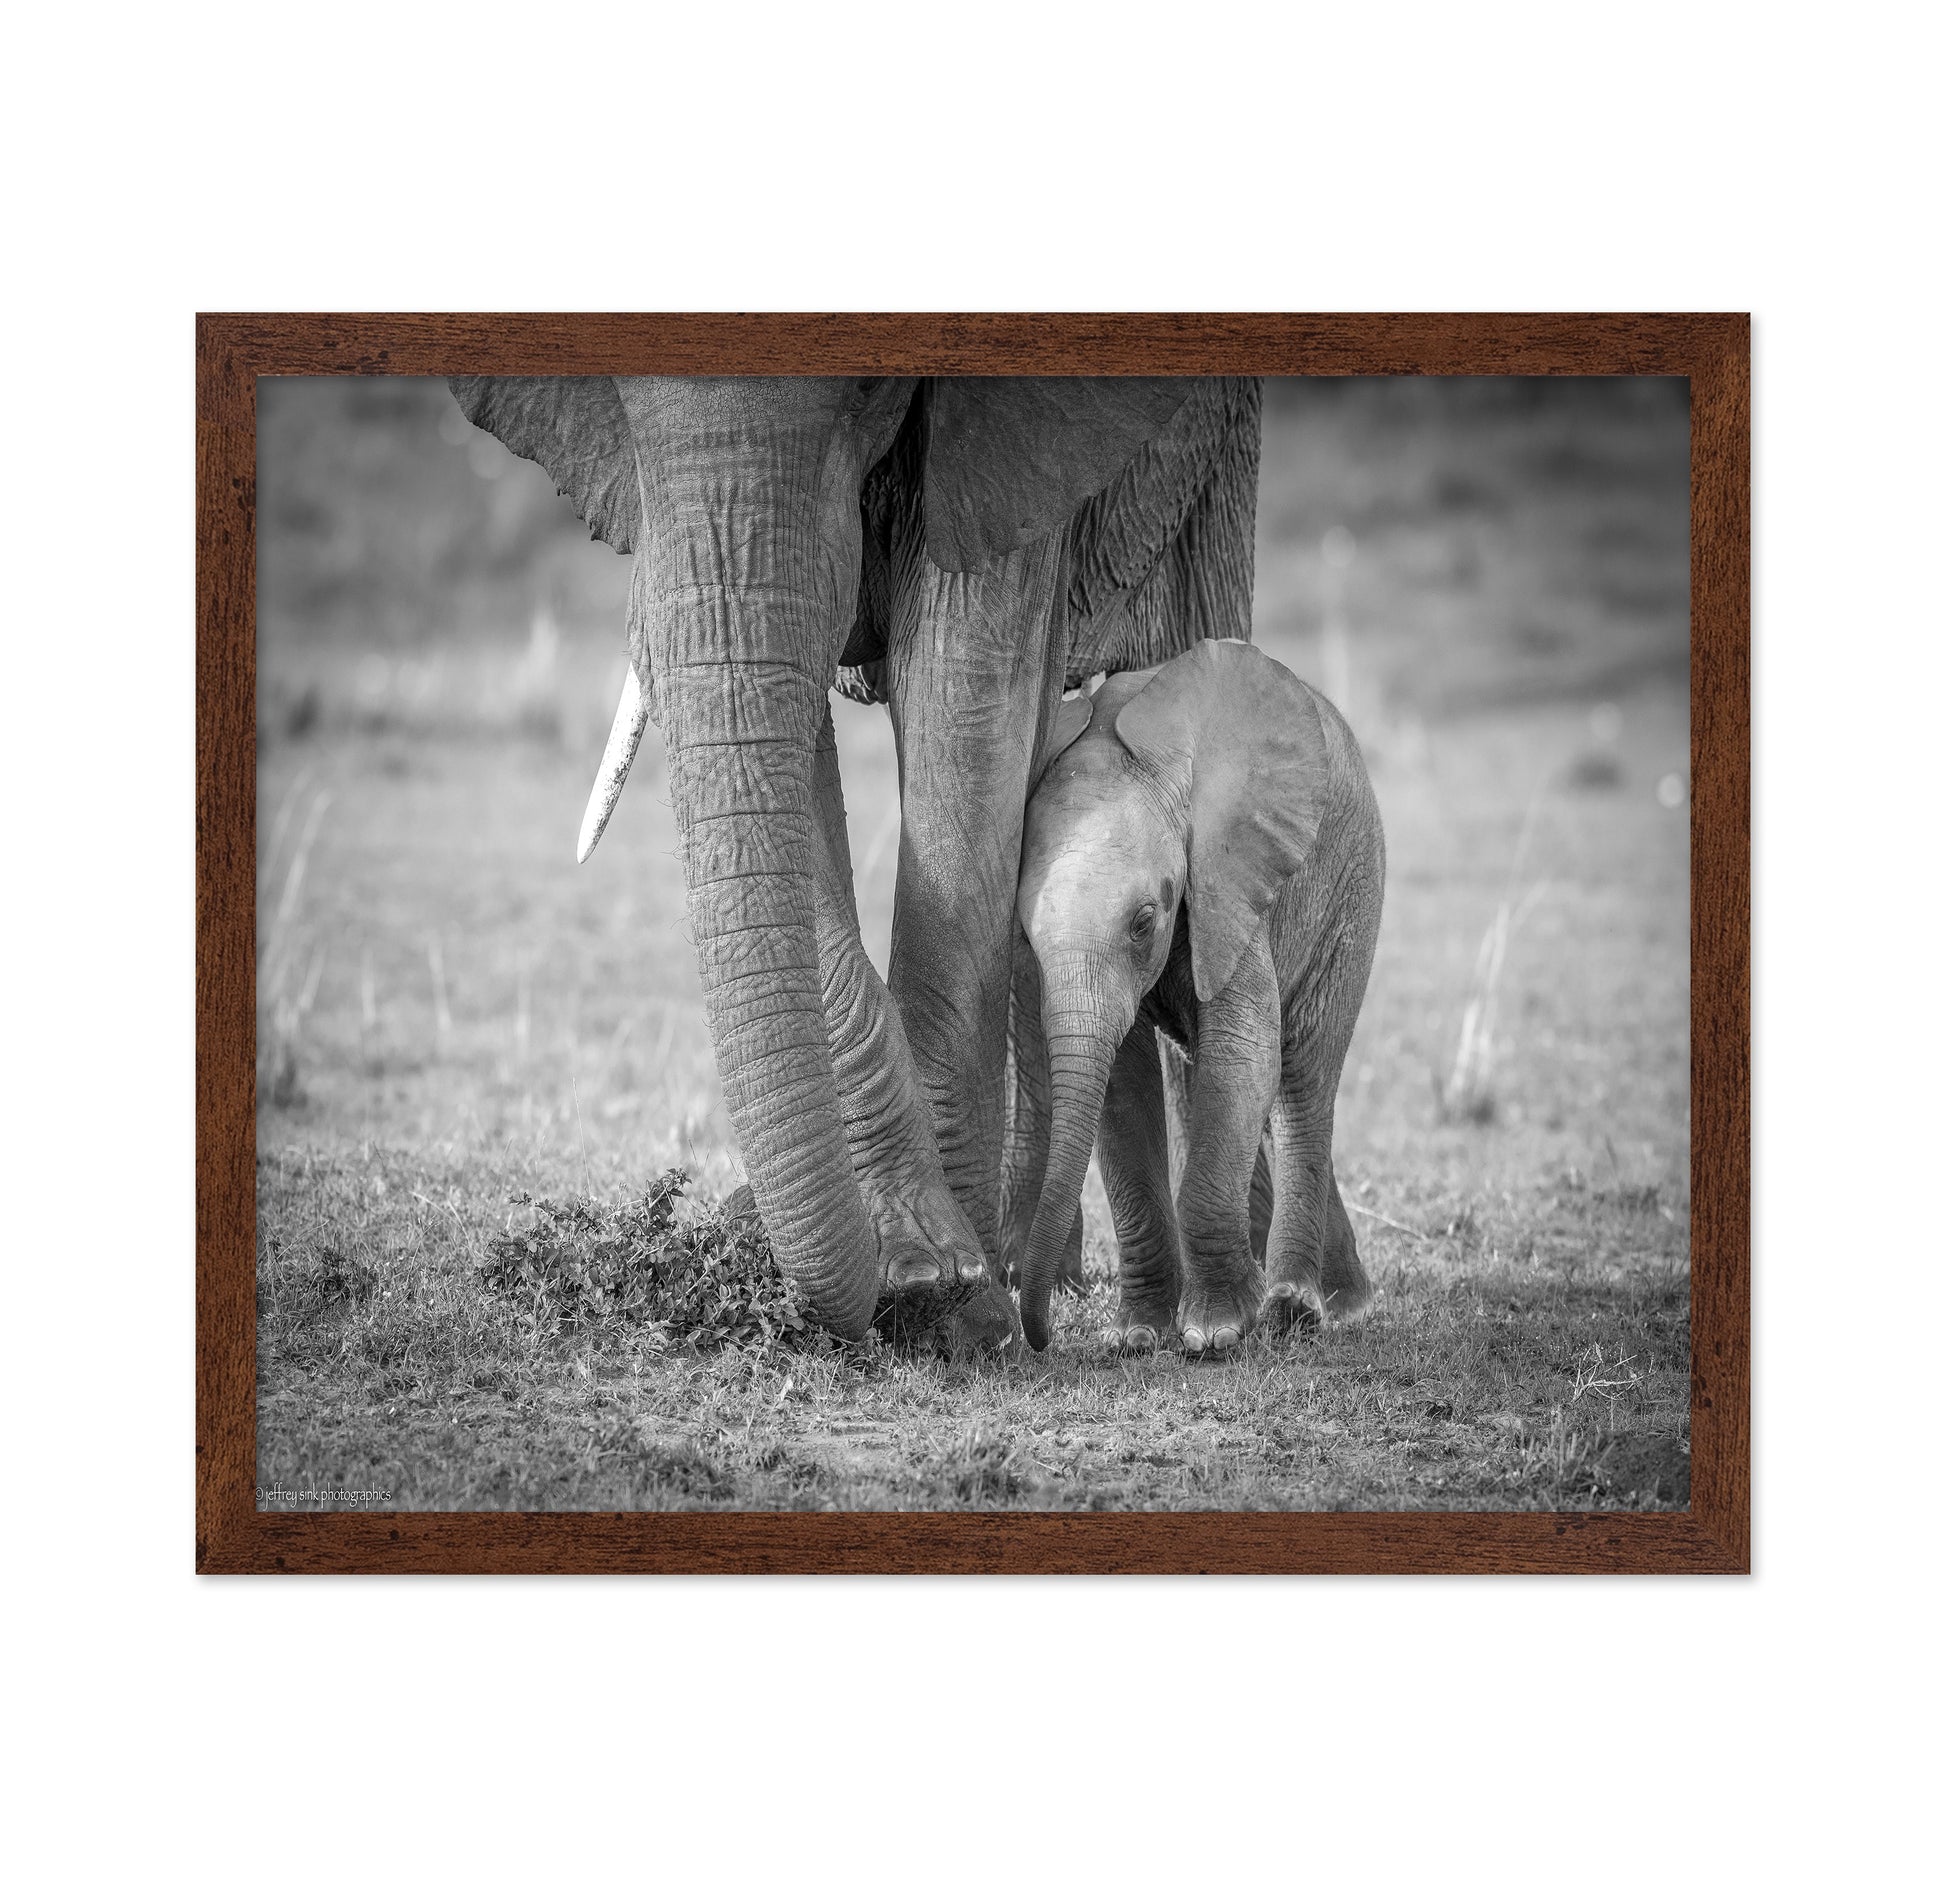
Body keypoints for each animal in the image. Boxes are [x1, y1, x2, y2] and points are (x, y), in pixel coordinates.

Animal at [1010, 638, 1385, 1354]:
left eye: (1143, 922)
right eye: (1025, 934)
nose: (1038, 1339)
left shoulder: (1228, 883)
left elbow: (1243, 1053)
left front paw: (1216, 1334)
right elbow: (1123, 1087)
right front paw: (1137, 1336)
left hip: (1352, 889)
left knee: (1302, 1077)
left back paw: (1299, 1310)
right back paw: (1343, 1302)